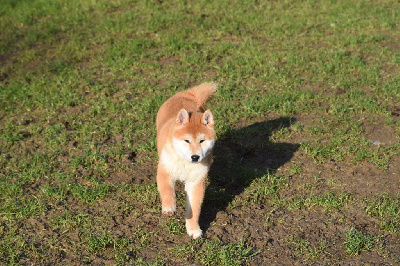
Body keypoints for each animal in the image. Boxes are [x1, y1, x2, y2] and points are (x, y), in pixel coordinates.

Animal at [156, 82, 217, 238]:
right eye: (186, 140)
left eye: (202, 141)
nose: (195, 157)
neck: (185, 163)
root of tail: (187, 94)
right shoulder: (165, 170)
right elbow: (167, 191)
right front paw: (169, 207)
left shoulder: (196, 182)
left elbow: (194, 208)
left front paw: (193, 228)